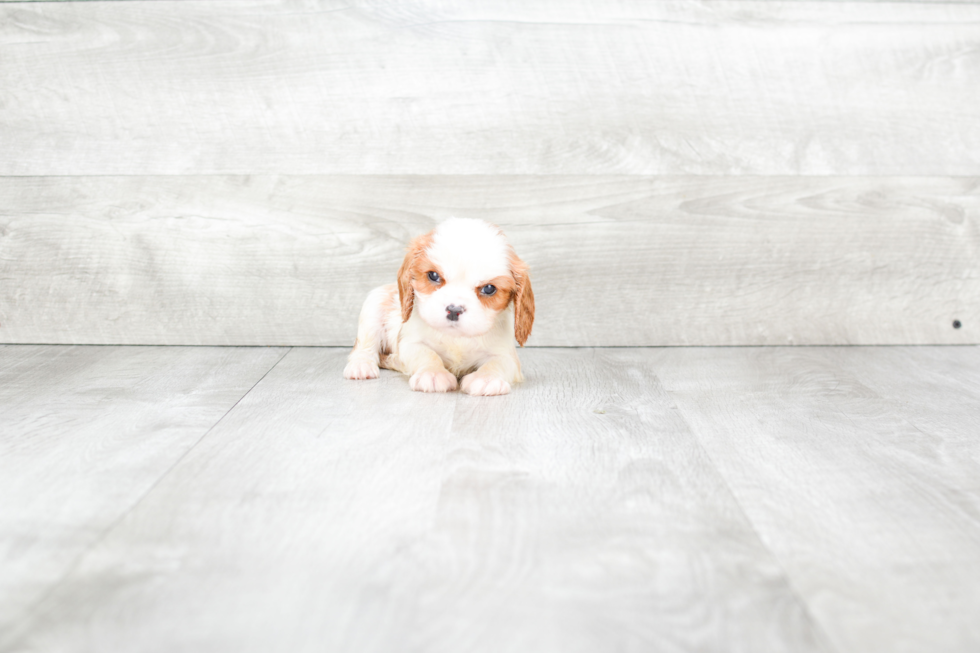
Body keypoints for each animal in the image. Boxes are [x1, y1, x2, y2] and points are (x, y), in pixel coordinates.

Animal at [340, 216, 532, 394]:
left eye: (489, 288)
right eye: (433, 276)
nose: (454, 310)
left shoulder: (506, 354)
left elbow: (498, 362)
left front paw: (486, 378)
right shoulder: (410, 343)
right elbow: (427, 354)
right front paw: (432, 374)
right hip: (373, 306)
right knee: (363, 347)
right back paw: (361, 366)